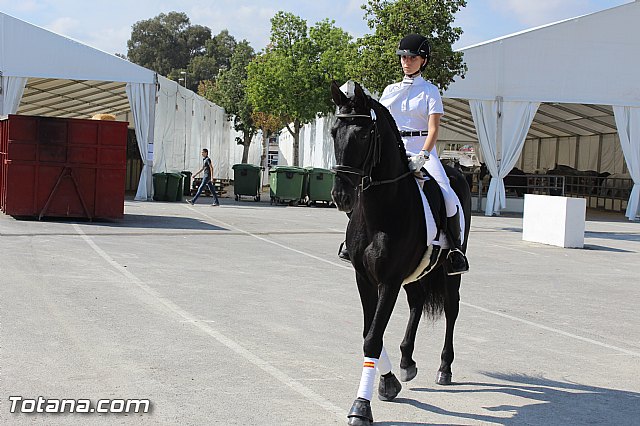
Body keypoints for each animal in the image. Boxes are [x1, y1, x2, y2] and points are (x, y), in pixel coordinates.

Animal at [330, 81, 471, 426]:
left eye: (364, 135)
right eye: (333, 131)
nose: (341, 196)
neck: (380, 210)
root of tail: (457, 170)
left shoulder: (389, 280)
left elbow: (372, 338)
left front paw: (361, 406)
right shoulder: (364, 278)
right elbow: (369, 333)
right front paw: (389, 381)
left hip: (449, 272)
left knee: (451, 309)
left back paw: (444, 368)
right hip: (416, 272)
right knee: (418, 301)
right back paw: (407, 361)